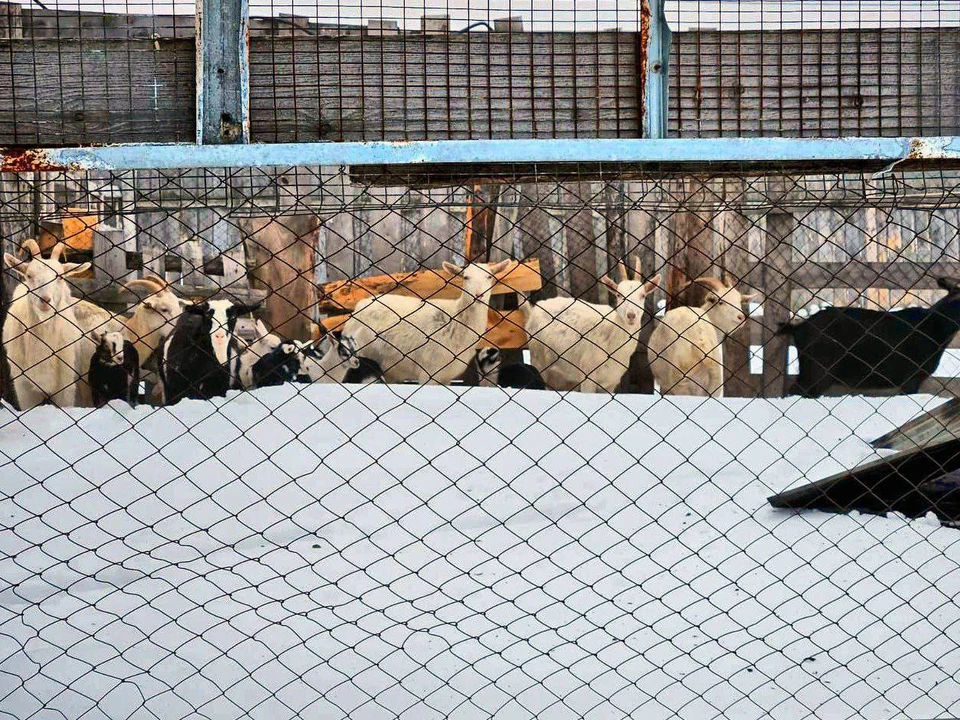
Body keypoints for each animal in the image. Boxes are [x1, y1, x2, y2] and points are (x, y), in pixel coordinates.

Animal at [342, 258, 512, 382]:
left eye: (489, 276)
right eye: (465, 277)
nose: (478, 295)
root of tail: (359, 306)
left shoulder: (447, 376)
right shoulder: (428, 371)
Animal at [520, 258, 656, 394]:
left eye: (643, 295)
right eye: (619, 295)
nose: (631, 315)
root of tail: (534, 310)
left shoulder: (611, 381)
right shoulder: (587, 373)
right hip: (538, 359)